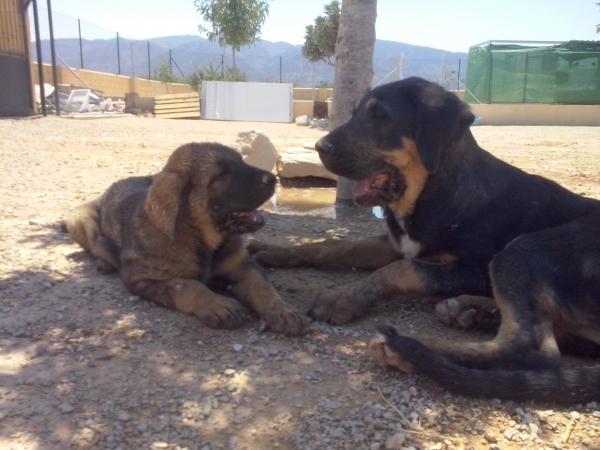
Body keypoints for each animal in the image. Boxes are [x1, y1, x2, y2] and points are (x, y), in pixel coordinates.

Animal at [66, 142, 310, 336]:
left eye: (242, 161)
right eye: (222, 174)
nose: (273, 179)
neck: (202, 239)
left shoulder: (243, 265)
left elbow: (262, 287)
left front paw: (282, 310)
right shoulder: (142, 277)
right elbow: (186, 285)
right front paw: (217, 303)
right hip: (78, 218)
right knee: (96, 244)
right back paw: (104, 262)